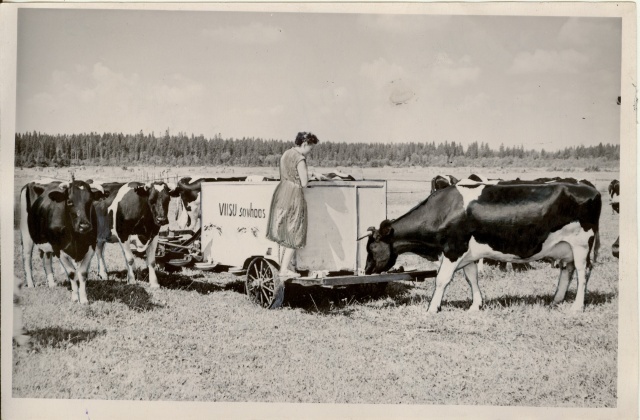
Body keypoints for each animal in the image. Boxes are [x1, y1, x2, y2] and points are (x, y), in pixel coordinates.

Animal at [362, 179, 604, 314]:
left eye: (371, 248)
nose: (366, 270)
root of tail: (591, 189)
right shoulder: (467, 254)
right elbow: (472, 279)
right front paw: (475, 305)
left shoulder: (454, 248)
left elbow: (441, 279)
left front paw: (432, 308)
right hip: (566, 247)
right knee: (567, 271)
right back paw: (556, 300)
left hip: (582, 244)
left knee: (583, 273)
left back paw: (577, 307)